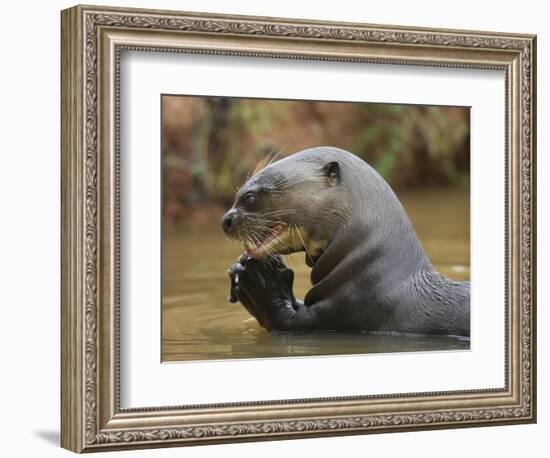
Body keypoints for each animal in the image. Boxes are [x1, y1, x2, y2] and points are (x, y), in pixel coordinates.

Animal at [222, 146, 472, 336]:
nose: (226, 220)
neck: (372, 271)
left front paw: (257, 278)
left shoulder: (347, 310)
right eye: (238, 194)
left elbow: (281, 319)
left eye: (250, 198)